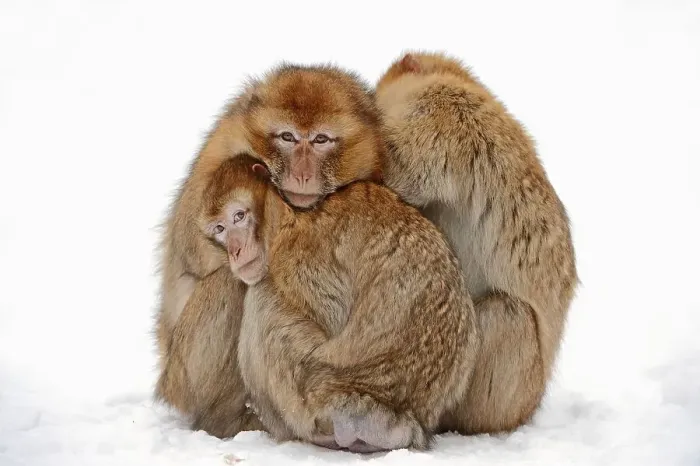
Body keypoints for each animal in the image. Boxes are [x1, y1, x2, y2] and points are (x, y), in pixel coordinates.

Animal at [154, 63, 385, 438]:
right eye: (288, 137)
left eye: (320, 139)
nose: (302, 173)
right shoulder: (224, 145)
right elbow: (192, 245)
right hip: (181, 378)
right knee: (231, 283)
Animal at [198, 153, 479, 452]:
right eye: (220, 229)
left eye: (239, 216)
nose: (236, 251)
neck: (288, 221)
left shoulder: (301, 259)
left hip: (313, 392)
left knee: (262, 297)